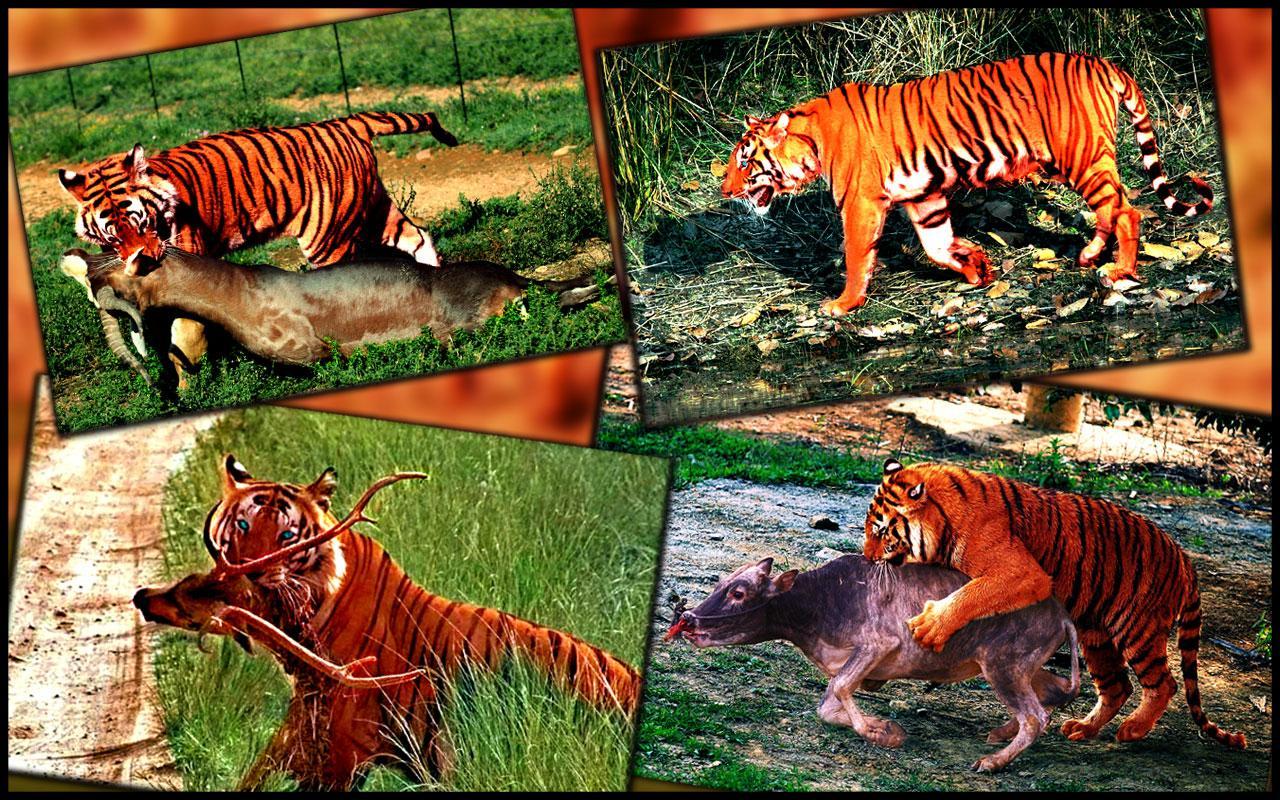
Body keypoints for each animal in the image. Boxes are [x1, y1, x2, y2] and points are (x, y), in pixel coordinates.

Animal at [57, 111, 458, 385]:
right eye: (113, 237)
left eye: (141, 222)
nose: (146, 260)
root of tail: (346, 123)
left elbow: (185, 335)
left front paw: (191, 389)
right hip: (375, 209)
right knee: (419, 236)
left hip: (328, 234)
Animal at [721, 52, 1214, 317]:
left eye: (744, 162)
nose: (724, 191)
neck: (814, 139)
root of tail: (1103, 62)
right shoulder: (924, 196)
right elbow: (938, 244)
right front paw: (978, 267)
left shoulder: (861, 204)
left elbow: (857, 256)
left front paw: (842, 304)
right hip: (1075, 163)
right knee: (1110, 209)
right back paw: (1091, 255)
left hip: (1080, 156)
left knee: (1125, 210)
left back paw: (1119, 271)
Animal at [861, 458, 1247, 750]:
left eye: (880, 531)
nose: (866, 557)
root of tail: (1183, 557)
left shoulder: (1021, 572)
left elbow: (971, 595)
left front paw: (928, 628)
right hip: (1096, 636)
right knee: (1117, 687)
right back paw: (1083, 728)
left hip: (1137, 629)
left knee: (1164, 683)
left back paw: (1132, 729)